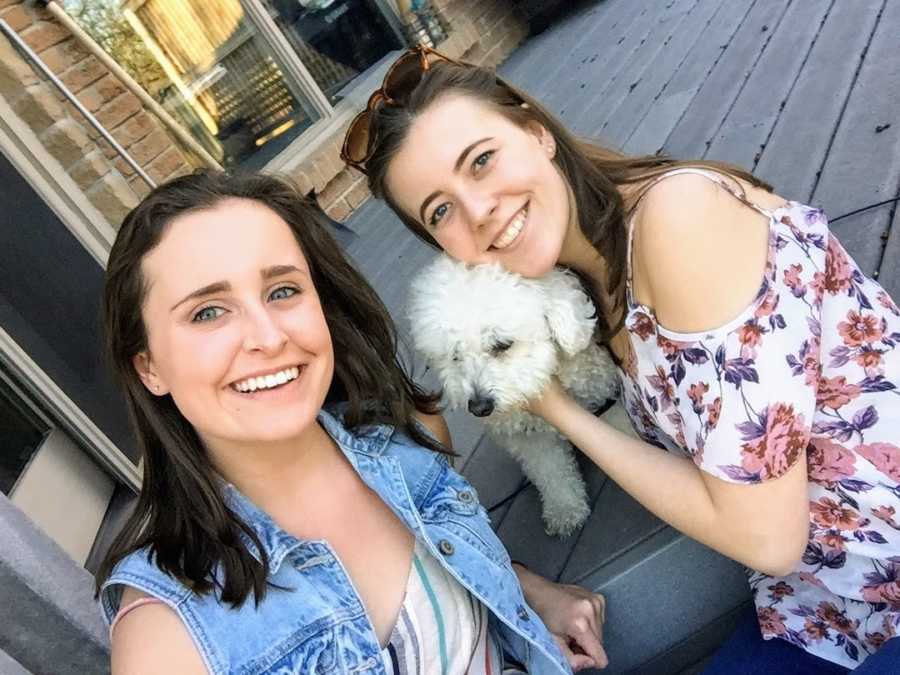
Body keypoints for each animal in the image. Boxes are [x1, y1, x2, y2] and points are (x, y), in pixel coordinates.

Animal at [410, 256, 616, 536]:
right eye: (455, 355)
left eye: (502, 345)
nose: (479, 407)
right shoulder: (531, 440)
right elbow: (551, 470)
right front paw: (565, 509)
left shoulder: (604, 391)